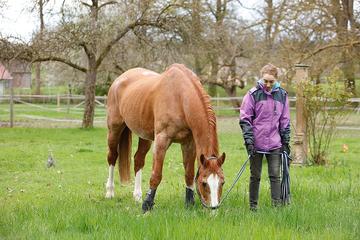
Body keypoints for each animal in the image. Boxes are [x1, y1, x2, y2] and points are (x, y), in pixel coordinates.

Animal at [104, 63, 226, 212]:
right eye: (204, 183)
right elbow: (156, 175)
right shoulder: (162, 140)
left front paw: (189, 203)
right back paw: (110, 192)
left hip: (145, 136)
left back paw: (137, 196)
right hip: (114, 130)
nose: (213, 209)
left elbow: (189, 174)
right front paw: (147, 205)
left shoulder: (189, 143)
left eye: (222, 182)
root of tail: (119, 80)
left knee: (138, 160)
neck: (179, 97)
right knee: (112, 157)